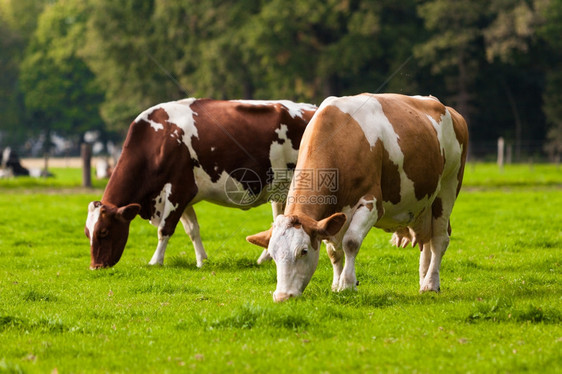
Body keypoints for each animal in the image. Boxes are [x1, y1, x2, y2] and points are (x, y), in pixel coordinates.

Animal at [86, 98, 316, 270]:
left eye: (104, 232)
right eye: (87, 233)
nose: (95, 267)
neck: (158, 140)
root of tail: (312, 108)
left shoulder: (178, 191)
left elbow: (164, 229)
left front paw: (155, 261)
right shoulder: (185, 198)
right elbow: (192, 230)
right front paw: (201, 261)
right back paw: (265, 258)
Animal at [247, 93, 466, 300]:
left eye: (303, 251)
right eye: (273, 255)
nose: (283, 296)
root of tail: (447, 109)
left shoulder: (371, 203)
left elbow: (350, 242)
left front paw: (348, 284)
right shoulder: (330, 217)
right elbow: (333, 251)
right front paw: (336, 284)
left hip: (448, 187)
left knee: (439, 239)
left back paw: (430, 283)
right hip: (424, 205)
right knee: (427, 242)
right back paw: (425, 281)